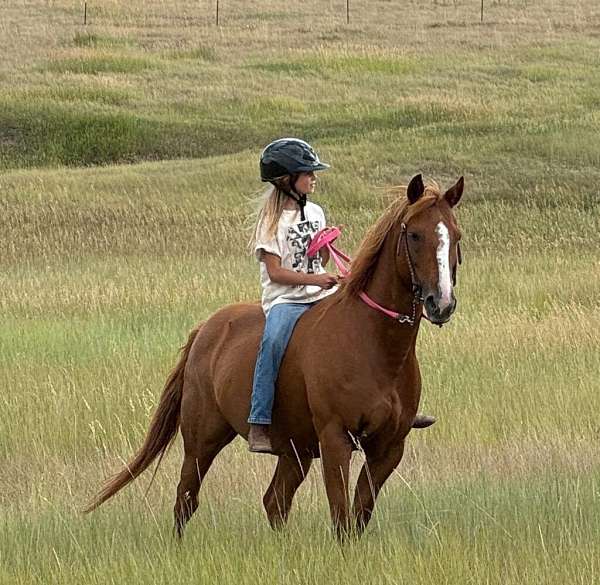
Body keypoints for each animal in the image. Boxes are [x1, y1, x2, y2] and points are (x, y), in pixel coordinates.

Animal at [86, 171, 464, 536]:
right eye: (414, 235)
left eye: (457, 236)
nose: (441, 303)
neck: (375, 346)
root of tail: (204, 330)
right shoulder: (336, 439)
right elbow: (341, 519)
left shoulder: (389, 448)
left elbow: (359, 516)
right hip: (202, 439)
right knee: (186, 500)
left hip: (295, 449)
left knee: (274, 502)